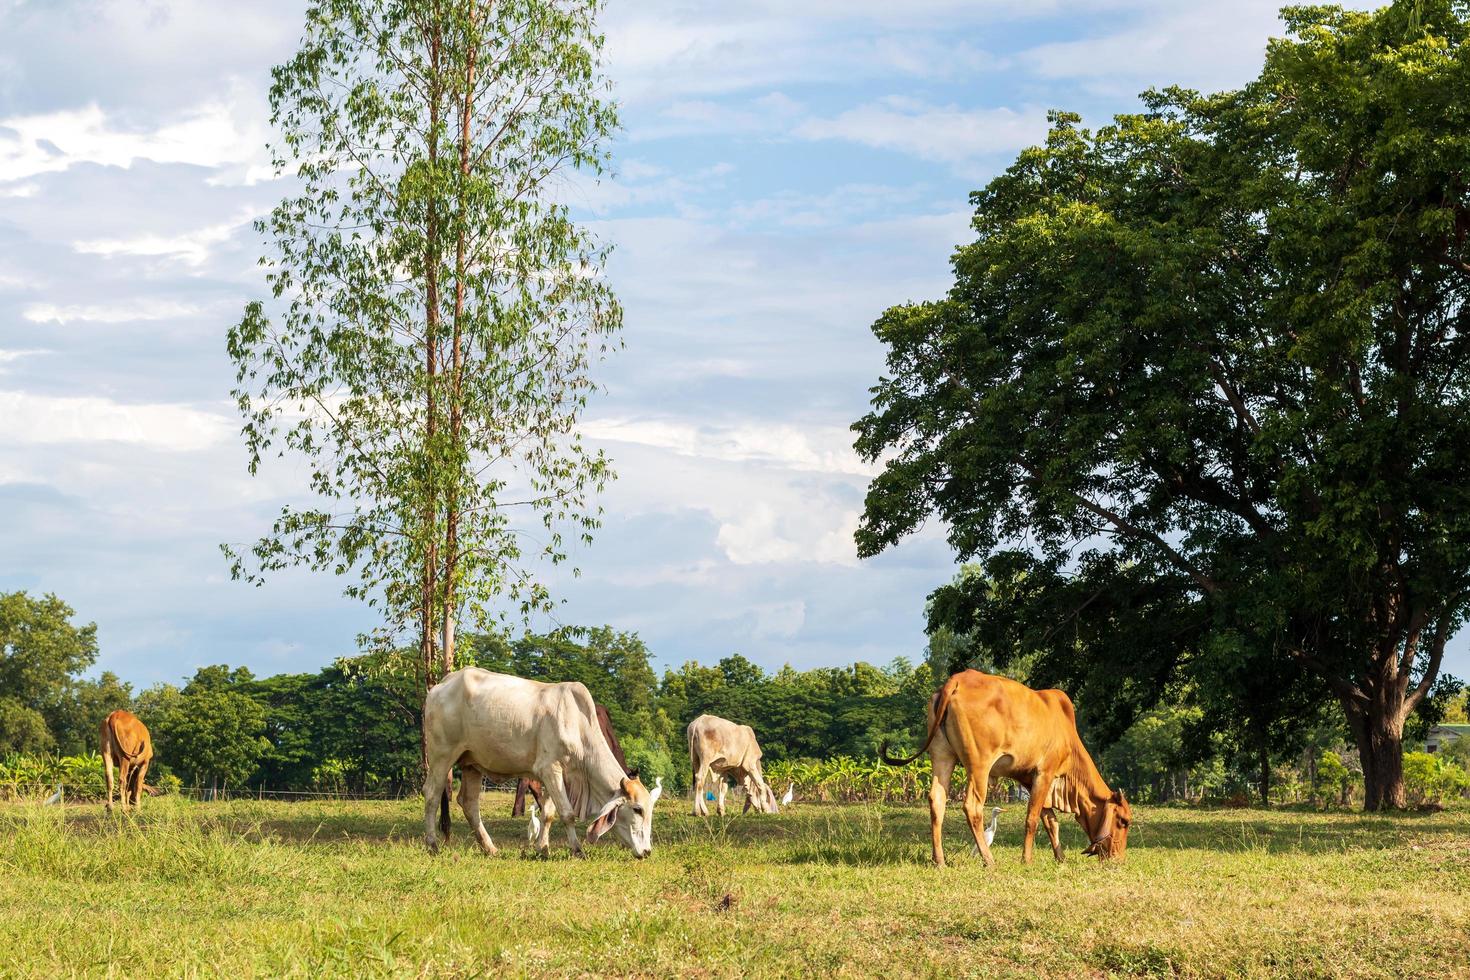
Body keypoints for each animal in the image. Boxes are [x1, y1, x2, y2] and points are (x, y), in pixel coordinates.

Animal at [426, 667, 655, 858]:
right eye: (637, 809)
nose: (647, 851)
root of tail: (441, 685)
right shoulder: (550, 769)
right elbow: (567, 814)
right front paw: (577, 850)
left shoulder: (557, 775)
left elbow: (548, 813)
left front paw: (542, 848)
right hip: (441, 755)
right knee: (432, 795)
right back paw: (432, 845)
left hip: (472, 764)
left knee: (469, 803)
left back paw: (490, 848)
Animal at [882, 669, 1134, 869]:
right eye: (1123, 821)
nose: (1118, 860)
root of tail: (957, 680)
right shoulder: (1045, 772)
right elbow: (1033, 819)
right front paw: (1027, 860)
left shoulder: (1029, 778)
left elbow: (1050, 821)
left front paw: (1060, 858)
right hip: (979, 765)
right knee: (972, 806)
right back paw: (988, 859)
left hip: (942, 755)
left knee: (937, 800)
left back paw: (940, 861)